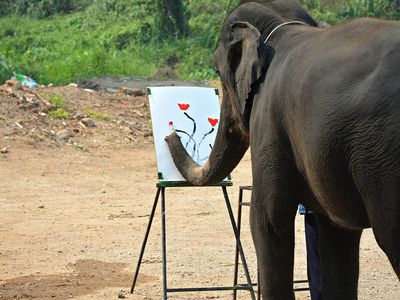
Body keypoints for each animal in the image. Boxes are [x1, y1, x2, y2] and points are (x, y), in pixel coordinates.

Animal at [163, 1, 400, 298]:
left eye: (217, 72)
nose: (169, 132)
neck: (283, 26)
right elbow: (337, 232)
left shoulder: (268, 123)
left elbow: (266, 220)